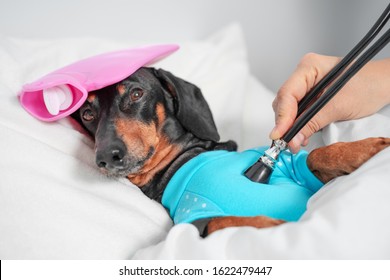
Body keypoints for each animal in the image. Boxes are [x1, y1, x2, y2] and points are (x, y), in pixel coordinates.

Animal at [72, 67, 390, 236]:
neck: (182, 160)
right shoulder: (193, 217)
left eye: (136, 93)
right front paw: (273, 223)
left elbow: (315, 155)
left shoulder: (284, 162)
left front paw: (368, 148)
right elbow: (221, 221)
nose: (106, 157)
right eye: (87, 113)